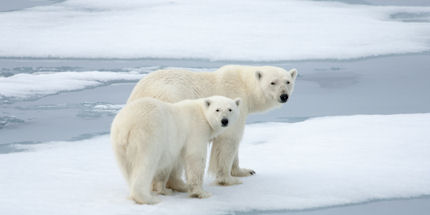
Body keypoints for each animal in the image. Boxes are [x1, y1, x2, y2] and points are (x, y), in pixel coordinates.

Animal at [111, 95, 240, 203]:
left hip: (119, 144)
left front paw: (166, 189)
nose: (224, 121)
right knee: (145, 164)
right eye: (217, 109)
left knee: (127, 168)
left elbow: (170, 163)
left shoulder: (176, 145)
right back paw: (148, 198)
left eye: (230, 109)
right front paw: (201, 193)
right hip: (147, 136)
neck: (202, 112)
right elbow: (195, 158)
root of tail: (126, 125)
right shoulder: (196, 130)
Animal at [126, 64, 298, 186]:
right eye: (272, 82)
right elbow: (228, 140)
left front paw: (245, 171)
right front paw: (228, 178)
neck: (244, 86)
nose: (284, 96)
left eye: (288, 81)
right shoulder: (232, 103)